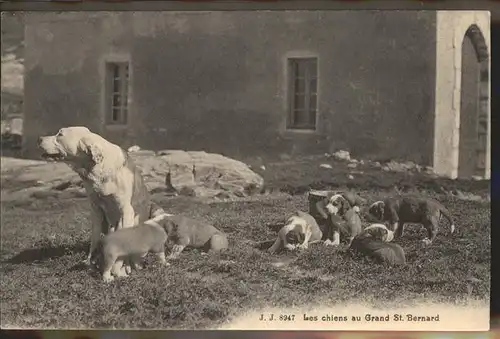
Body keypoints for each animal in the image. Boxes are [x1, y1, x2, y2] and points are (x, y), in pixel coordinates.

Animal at [39, 126, 165, 278]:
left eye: (60, 134)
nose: (39, 138)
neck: (100, 168)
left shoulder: (126, 210)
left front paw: (118, 270)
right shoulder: (96, 210)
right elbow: (95, 238)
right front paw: (91, 262)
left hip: (156, 211)